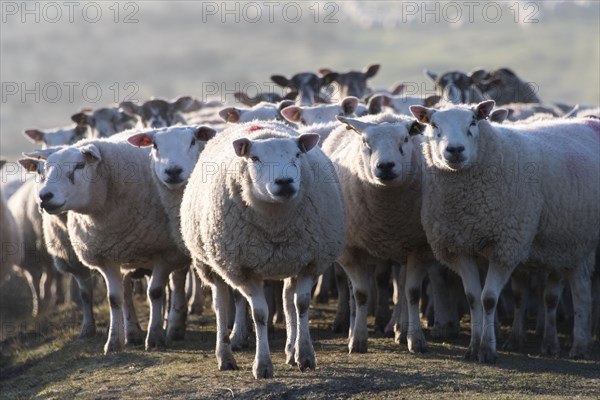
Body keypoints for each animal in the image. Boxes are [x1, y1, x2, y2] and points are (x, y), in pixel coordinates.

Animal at [22, 135, 188, 354]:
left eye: (80, 165)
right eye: (42, 171)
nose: (44, 196)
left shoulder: (165, 251)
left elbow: (156, 292)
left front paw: (154, 338)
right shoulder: (105, 257)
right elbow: (113, 298)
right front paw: (113, 342)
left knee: (177, 281)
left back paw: (173, 325)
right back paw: (134, 333)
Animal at [180, 121, 344, 378]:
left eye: (297, 155)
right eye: (255, 158)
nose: (285, 182)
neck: (275, 222)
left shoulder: (310, 261)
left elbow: (301, 304)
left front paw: (305, 355)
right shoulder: (243, 270)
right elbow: (260, 314)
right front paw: (263, 365)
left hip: (290, 259)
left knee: (287, 299)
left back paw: (290, 350)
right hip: (211, 264)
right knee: (220, 303)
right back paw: (225, 356)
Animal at [322, 112, 448, 354]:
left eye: (405, 140)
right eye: (365, 142)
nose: (386, 166)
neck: (388, 215)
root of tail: (383, 116)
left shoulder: (420, 247)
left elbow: (412, 293)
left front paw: (416, 340)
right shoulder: (350, 250)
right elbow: (360, 294)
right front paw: (357, 340)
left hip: (403, 249)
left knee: (403, 287)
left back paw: (400, 329)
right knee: (354, 291)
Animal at [408, 101, 600, 362]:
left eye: (473, 122)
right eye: (434, 125)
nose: (455, 150)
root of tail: (587, 122)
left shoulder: (506, 245)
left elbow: (488, 299)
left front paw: (487, 350)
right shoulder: (460, 246)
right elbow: (472, 297)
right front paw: (473, 348)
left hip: (579, 241)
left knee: (581, 292)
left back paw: (579, 345)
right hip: (564, 244)